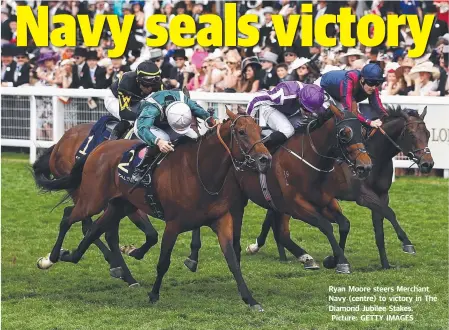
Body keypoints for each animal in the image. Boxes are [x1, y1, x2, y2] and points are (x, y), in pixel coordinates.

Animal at [33, 107, 272, 310]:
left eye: (260, 131)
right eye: (241, 132)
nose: (265, 159)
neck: (200, 172)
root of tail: (97, 148)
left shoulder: (221, 219)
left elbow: (232, 259)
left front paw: (250, 300)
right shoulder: (173, 224)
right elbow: (163, 261)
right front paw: (154, 294)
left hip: (119, 205)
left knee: (94, 231)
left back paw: (74, 257)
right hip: (92, 200)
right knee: (69, 218)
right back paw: (50, 259)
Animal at [182, 105, 372, 274]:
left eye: (363, 131)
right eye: (344, 133)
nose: (366, 166)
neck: (309, 161)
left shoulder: (325, 201)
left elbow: (344, 224)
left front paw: (333, 259)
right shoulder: (296, 206)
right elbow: (326, 226)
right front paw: (341, 262)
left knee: (282, 233)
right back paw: (193, 257)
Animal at [243, 107, 432, 270]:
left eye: (428, 134)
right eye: (411, 134)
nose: (428, 164)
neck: (374, 155)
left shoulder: (382, 194)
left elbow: (380, 229)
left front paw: (385, 264)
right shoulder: (363, 196)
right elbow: (390, 213)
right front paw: (407, 243)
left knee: (273, 216)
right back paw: (259, 247)